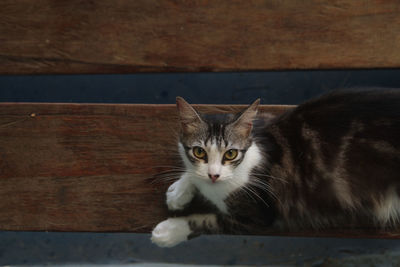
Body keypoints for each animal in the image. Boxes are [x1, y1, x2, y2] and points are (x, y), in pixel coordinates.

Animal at [151, 89, 400, 248]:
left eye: (230, 154)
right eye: (199, 152)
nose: (214, 175)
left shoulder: (258, 216)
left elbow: (208, 221)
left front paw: (169, 231)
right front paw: (178, 192)